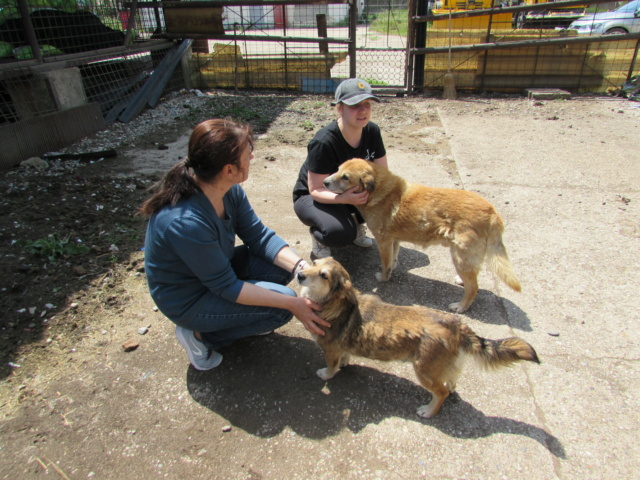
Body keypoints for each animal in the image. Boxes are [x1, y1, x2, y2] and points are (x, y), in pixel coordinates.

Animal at [298, 256, 536, 418]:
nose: (299, 274)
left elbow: (331, 365)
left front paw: (327, 374)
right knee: (452, 381)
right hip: (446, 367)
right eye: (313, 261)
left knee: (441, 393)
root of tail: (457, 326)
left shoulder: (329, 349)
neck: (332, 303)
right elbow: (345, 355)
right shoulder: (341, 346)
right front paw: (345, 363)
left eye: (324, 275)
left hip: (424, 371)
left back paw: (428, 411)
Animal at [322, 159, 524, 314]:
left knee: (473, 288)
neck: (379, 191)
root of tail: (492, 213)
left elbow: (386, 264)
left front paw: (384, 278)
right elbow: (393, 259)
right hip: (465, 258)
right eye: (338, 169)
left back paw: (460, 306)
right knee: (472, 278)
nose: (324, 182)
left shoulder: (384, 241)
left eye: (345, 177)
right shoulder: (394, 240)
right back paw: (461, 281)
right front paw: (392, 270)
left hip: (460, 255)